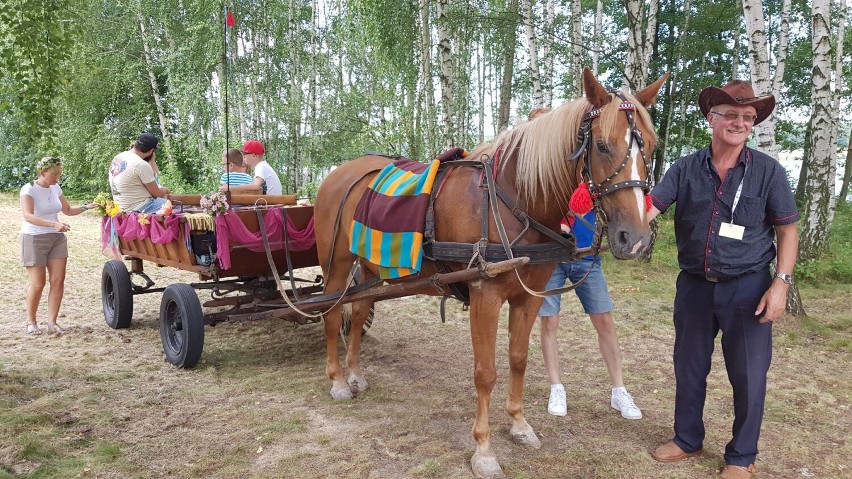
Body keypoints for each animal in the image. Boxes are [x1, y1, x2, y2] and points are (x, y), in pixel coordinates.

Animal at [312, 68, 664, 479]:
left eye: (651, 146)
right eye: (604, 146)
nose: (635, 238)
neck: (516, 198)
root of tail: (338, 173)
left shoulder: (529, 297)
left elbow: (518, 360)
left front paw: (519, 424)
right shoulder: (485, 296)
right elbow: (485, 372)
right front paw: (483, 448)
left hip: (370, 267)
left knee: (359, 309)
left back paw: (354, 372)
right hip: (336, 265)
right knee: (333, 314)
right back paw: (338, 380)